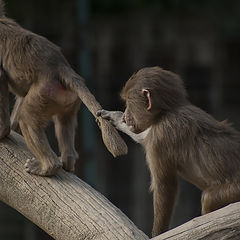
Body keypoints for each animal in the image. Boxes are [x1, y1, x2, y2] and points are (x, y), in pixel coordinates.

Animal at [0, 0, 127, 176]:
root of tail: (61, 67)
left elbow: (1, 78)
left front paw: (3, 131)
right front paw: (11, 128)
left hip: (45, 92)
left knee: (26, 118)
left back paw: (48, 166)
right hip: (66, 99)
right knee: (63, 121)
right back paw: (67, 161)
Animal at [97, 66, 240, 236]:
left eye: (128, 103)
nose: (125, 117)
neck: (168, 111)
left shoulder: (161, 135)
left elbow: (165, 186)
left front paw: (158, 233)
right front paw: (115, 117)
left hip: (234, 190)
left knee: (208, 198)